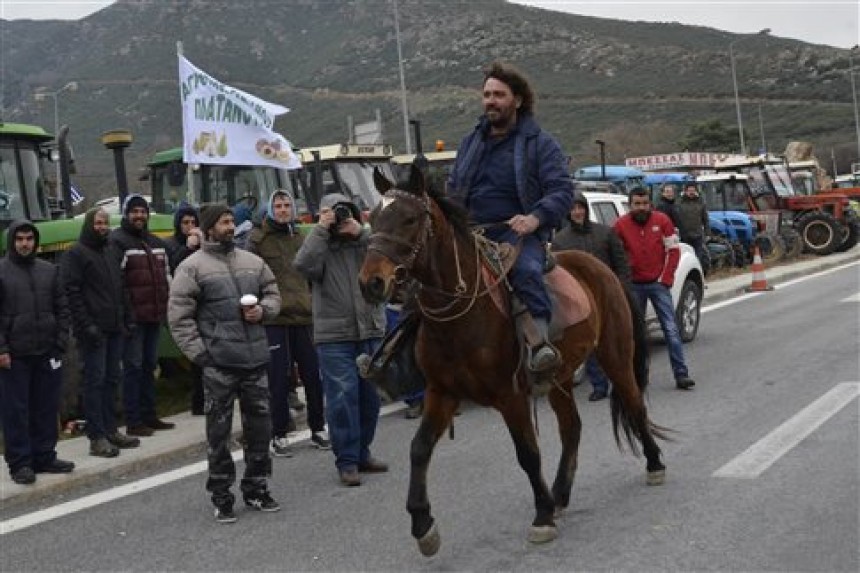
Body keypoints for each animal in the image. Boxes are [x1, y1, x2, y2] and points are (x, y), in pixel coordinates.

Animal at [356, 164, 664, 556]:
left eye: (410, 219)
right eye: (372, 219)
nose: (371, 282)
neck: (460, 317)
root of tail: (602, 267)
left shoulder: (510, 395)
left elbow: (527, 453)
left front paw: (542, 515)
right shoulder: (441, 393)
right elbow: (419, 449)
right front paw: (422, 524)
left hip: (615, 357)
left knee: (635, 405)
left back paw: (653, 464)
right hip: (560, 377)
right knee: (572, 427)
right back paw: (560, 493)